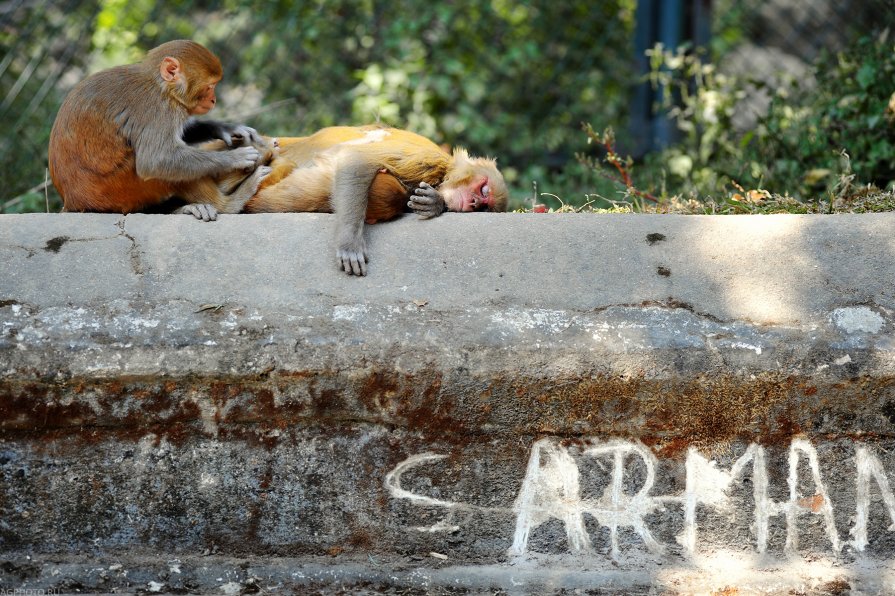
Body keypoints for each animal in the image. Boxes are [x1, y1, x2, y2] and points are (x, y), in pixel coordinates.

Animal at [49, 40, 266, 221]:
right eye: (210, 86)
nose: (213, 100)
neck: (161, 86)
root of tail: (74, 202)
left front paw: (226, 129)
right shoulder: (157, 107)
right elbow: (155, 160)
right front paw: (235, 158)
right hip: (117, 191)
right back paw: (228, 204)